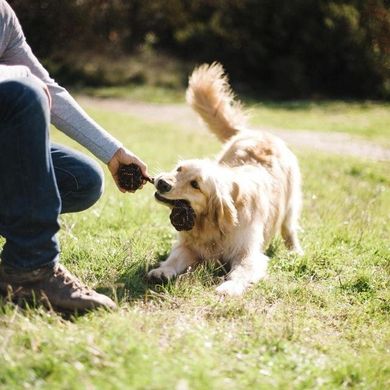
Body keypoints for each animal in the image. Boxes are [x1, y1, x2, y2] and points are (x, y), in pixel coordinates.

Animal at [148, 63, 304, 296]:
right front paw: (162, 271)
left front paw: (229, 286)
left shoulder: (248, 254)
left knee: (289, 229)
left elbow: (240, 271)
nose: (162, 183)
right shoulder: (188, 246)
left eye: (195, 185)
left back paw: (295, 251)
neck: (210, 225)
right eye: (179, 169)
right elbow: (175, 258)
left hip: (290, 205)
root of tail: (253, 132)